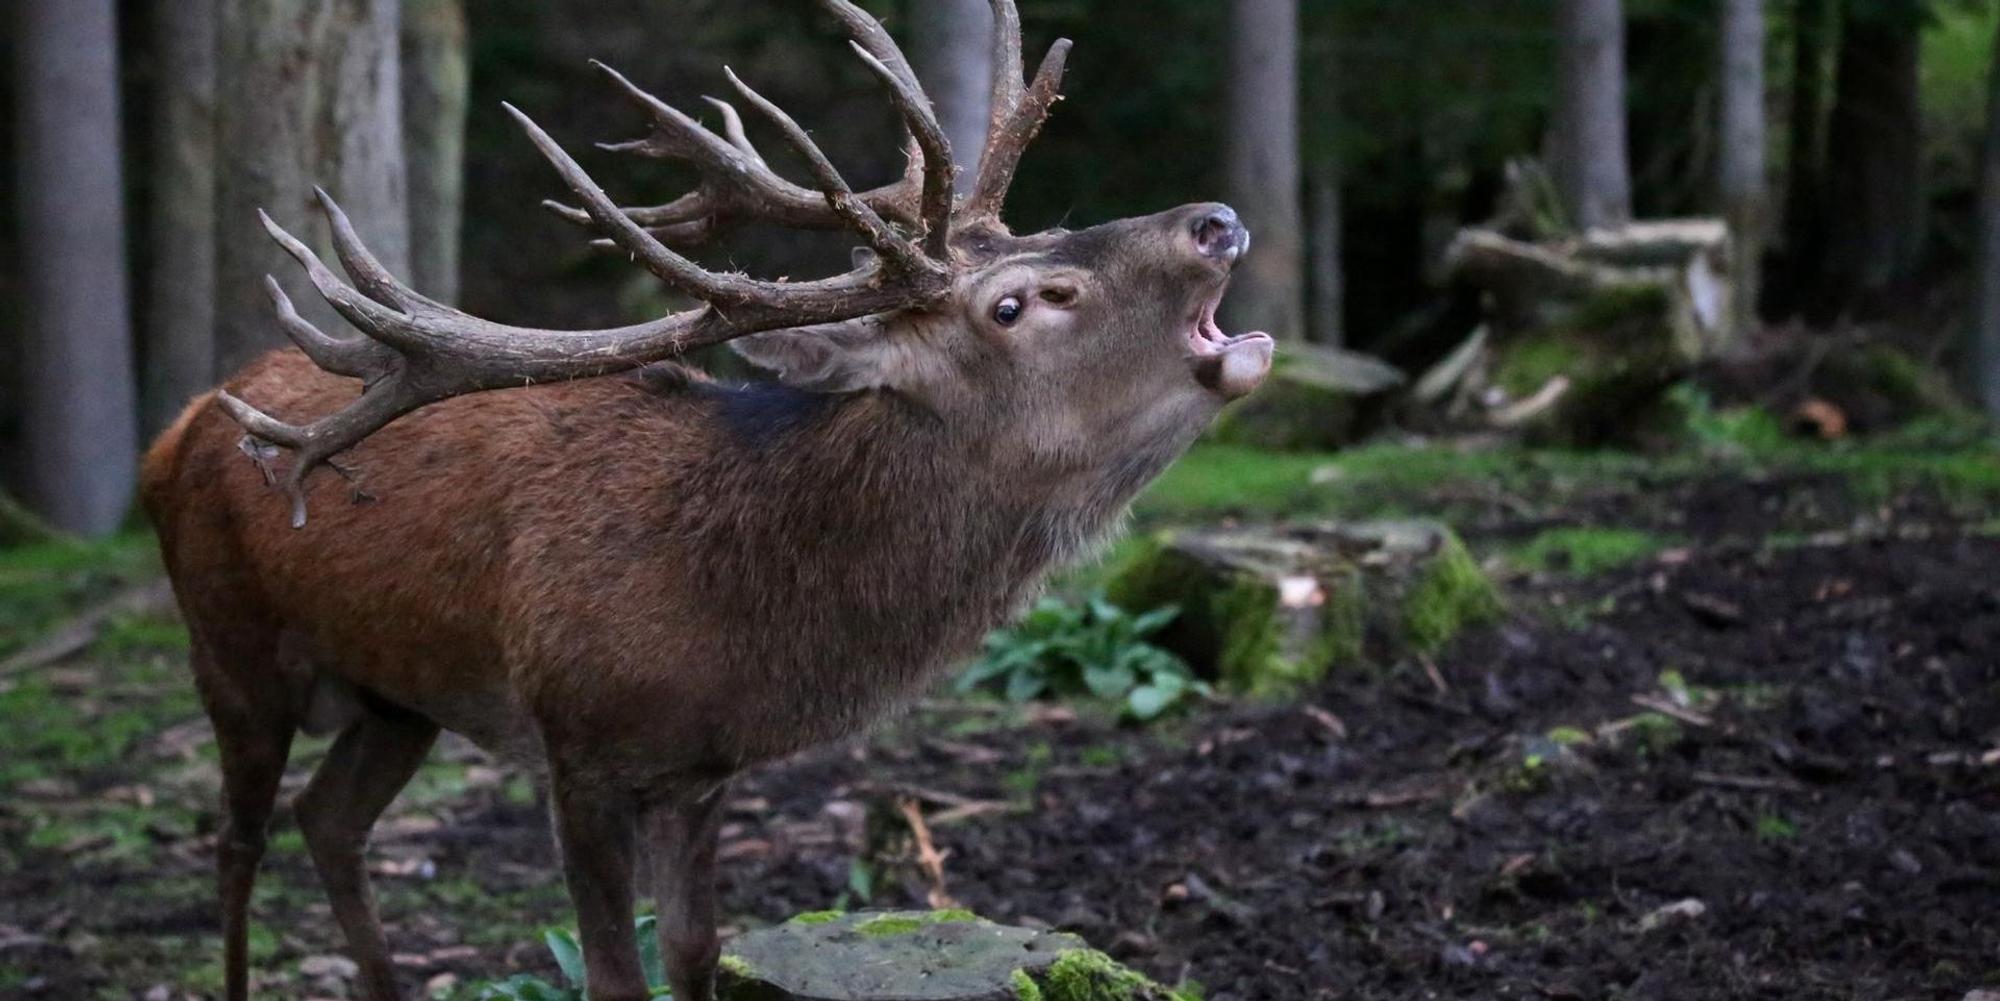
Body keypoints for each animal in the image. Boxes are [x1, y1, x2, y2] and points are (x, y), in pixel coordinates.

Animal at [141, 2, 1273, 999]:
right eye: (1014, 303)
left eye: (1053, 227)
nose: (1214, 219)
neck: (727, 615)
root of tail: (180, 424)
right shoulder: (578, 746)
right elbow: (612, 972)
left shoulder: (701, 769)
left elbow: (691, 950)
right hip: (228, 644)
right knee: (239, 836)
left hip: (395, 690)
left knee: (328, 817)